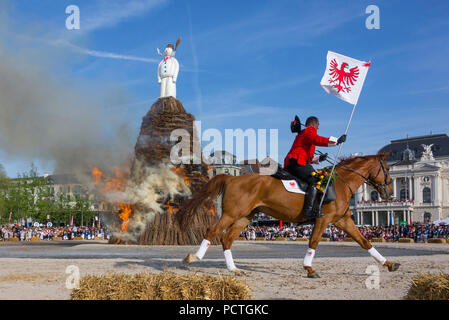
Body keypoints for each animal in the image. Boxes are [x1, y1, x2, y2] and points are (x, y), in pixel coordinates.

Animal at [177, 152, 400, 278]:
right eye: (387, 169)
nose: (390, 193)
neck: (339, 182)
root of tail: (232, 178)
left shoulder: (343, 220)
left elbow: (364, 241)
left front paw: (389, 264)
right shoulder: (324, 219)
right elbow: (314, 242)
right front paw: (309, 268)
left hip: (244, 217)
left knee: (226, 239)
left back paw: (234, 269)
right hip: (232, 214)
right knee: (212, 230)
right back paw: (194, 257)